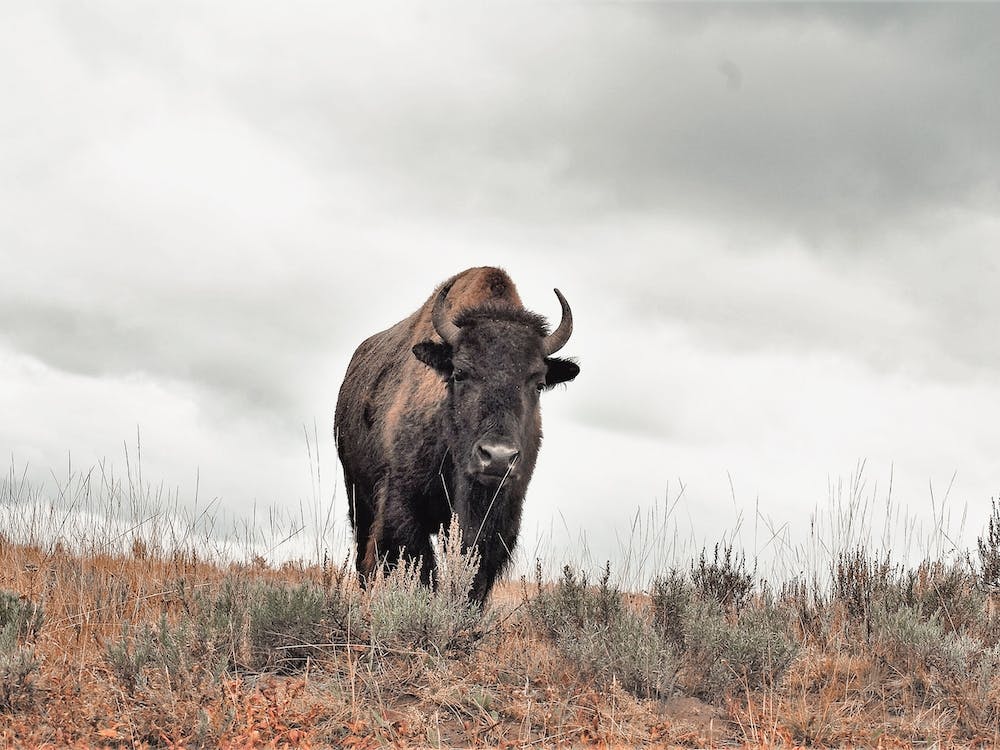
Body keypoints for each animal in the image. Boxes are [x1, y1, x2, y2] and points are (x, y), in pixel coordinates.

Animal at [334, 267, 579, 604]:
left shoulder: (499, 518)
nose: (497, 458)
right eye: (460, 373)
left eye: (539, 383)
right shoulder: (403, 507)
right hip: (357, 495)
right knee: (364, 559)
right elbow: (422, 571)